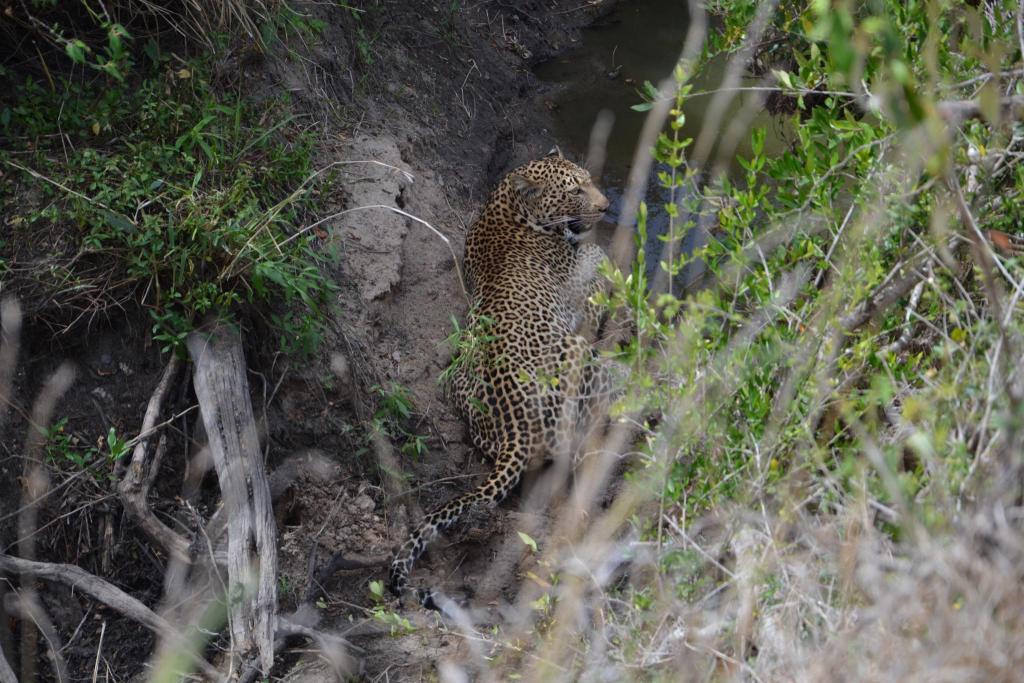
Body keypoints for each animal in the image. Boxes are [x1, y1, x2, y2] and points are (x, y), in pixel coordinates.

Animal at [389, 147, 614, 602]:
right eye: (575, 190)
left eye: (589, 179)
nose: (606, 206)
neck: (508, 206)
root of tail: (515, 433)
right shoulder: (583, 301)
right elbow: (600, 261)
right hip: (580, 355)